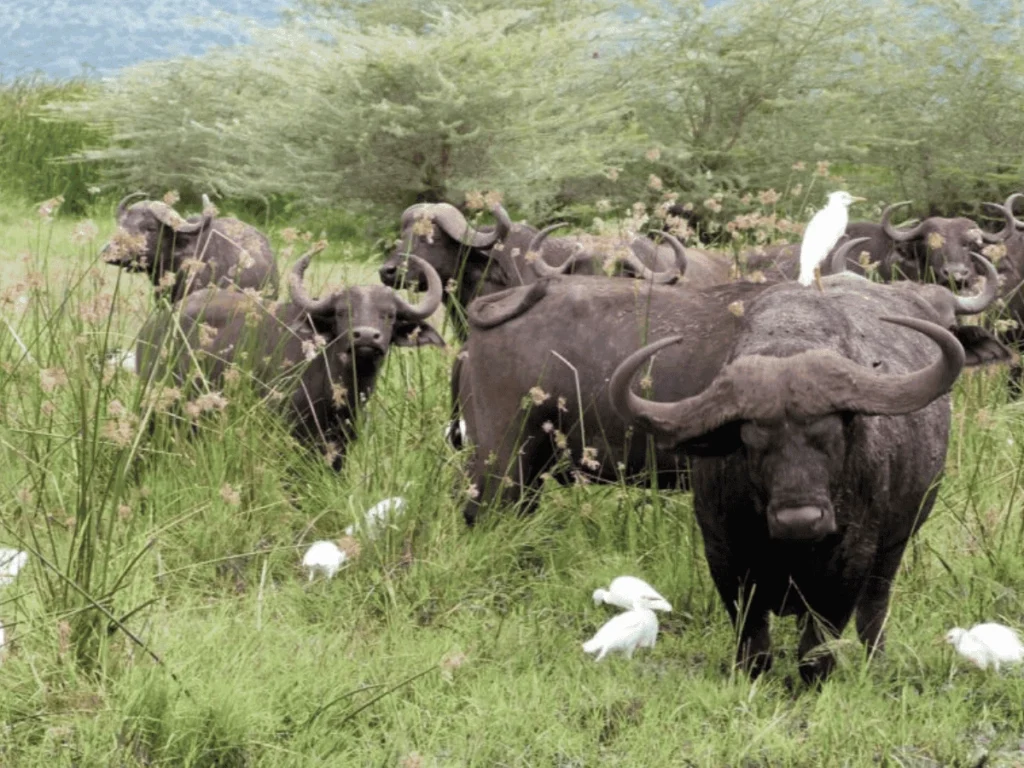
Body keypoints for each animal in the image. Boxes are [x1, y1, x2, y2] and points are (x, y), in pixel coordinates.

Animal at [608, 266, 1004, 683]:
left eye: (831, 432)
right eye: (752, 439)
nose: (800, 519)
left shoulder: (851, 558)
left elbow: (819, 640)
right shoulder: (723, 553)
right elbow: (752, 637)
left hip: (895, 544)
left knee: (874, 607)